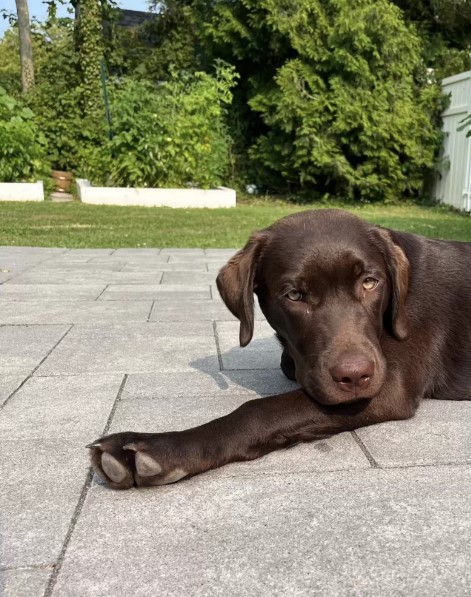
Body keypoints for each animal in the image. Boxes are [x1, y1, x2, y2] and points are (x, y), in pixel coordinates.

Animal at [88, 210, 471, 488]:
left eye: (370, 282)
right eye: (295, 295)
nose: (354, 377)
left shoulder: (387, 384)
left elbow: (259, 410)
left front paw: (162, 449)